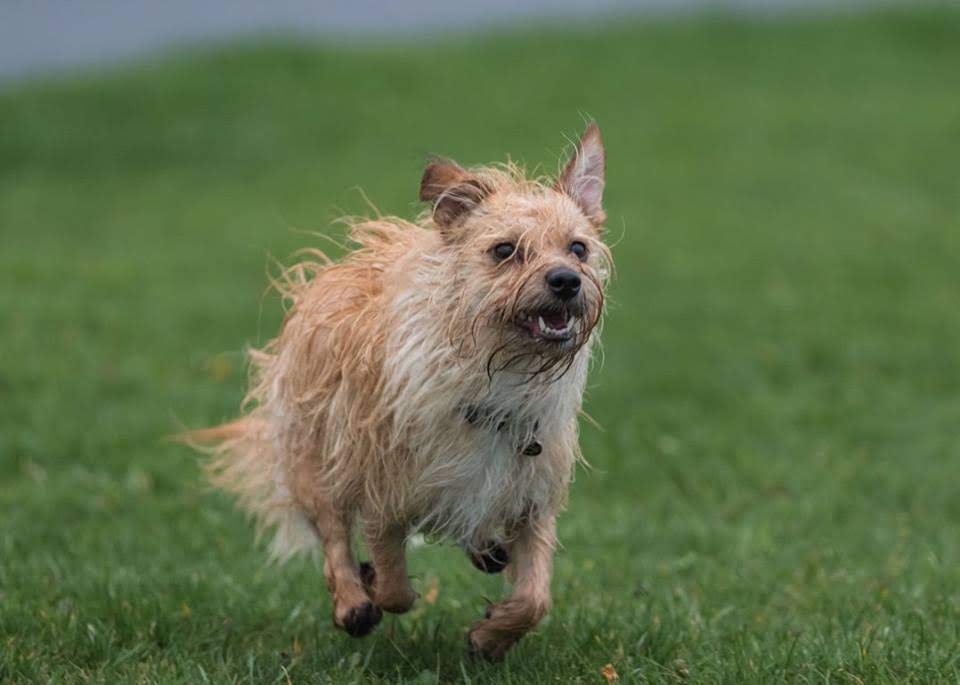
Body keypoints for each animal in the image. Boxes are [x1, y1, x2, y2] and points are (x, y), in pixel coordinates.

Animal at [187, 121, 608, 656]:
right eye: (505, 250)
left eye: (578, 248)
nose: (566, 280)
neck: (499, 383)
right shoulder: (383, 499)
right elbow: (394, 587)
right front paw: (373, 590)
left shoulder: (532, 500)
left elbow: (535, 598)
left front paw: (491, 637)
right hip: (316, 458)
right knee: (333, 534)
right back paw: (352, 601)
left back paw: (486, 551)